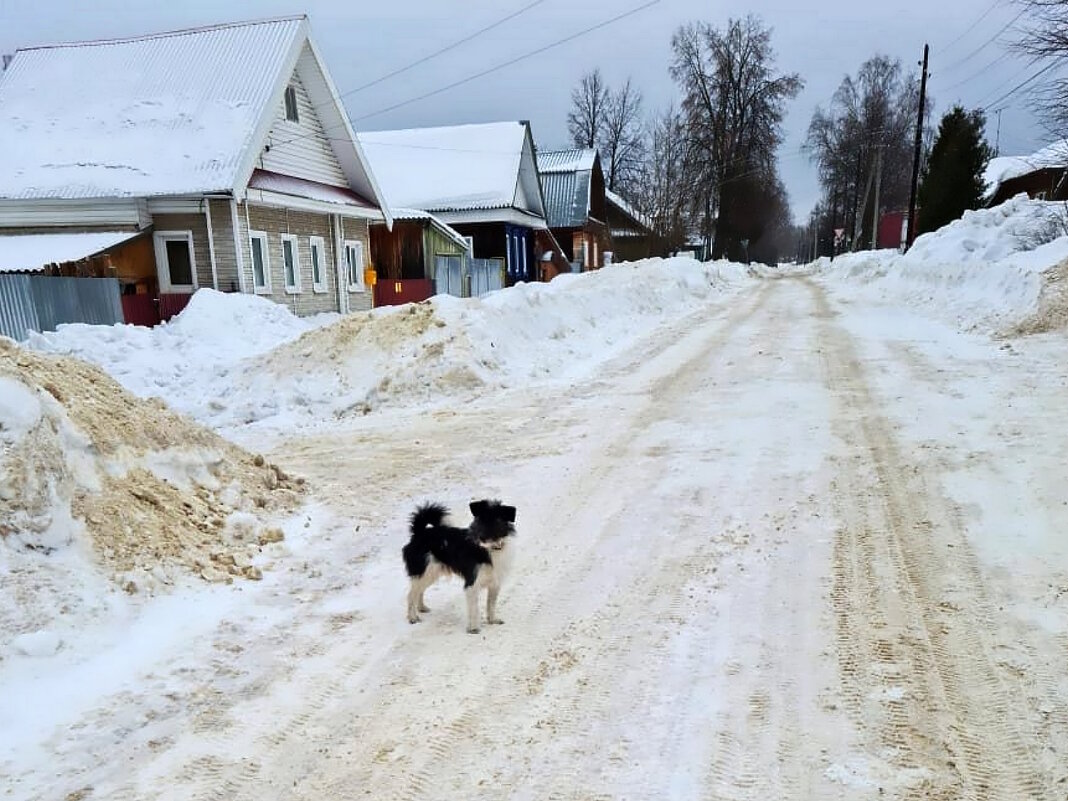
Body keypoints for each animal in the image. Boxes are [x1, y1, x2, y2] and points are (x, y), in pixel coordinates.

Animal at [401, 501, 516, 632]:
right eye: (480, 520)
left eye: (497, 521)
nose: (481, 538)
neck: (489, 550)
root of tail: (419, 533)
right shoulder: (472, 582)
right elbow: (474, 608)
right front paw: (473, 628)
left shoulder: (495, 583)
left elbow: (491, 604)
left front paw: (492, 620)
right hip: (424, 571)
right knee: (411, 595)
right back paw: (412, 618)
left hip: (430, 574)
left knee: (419, 591)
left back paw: (422, 608)